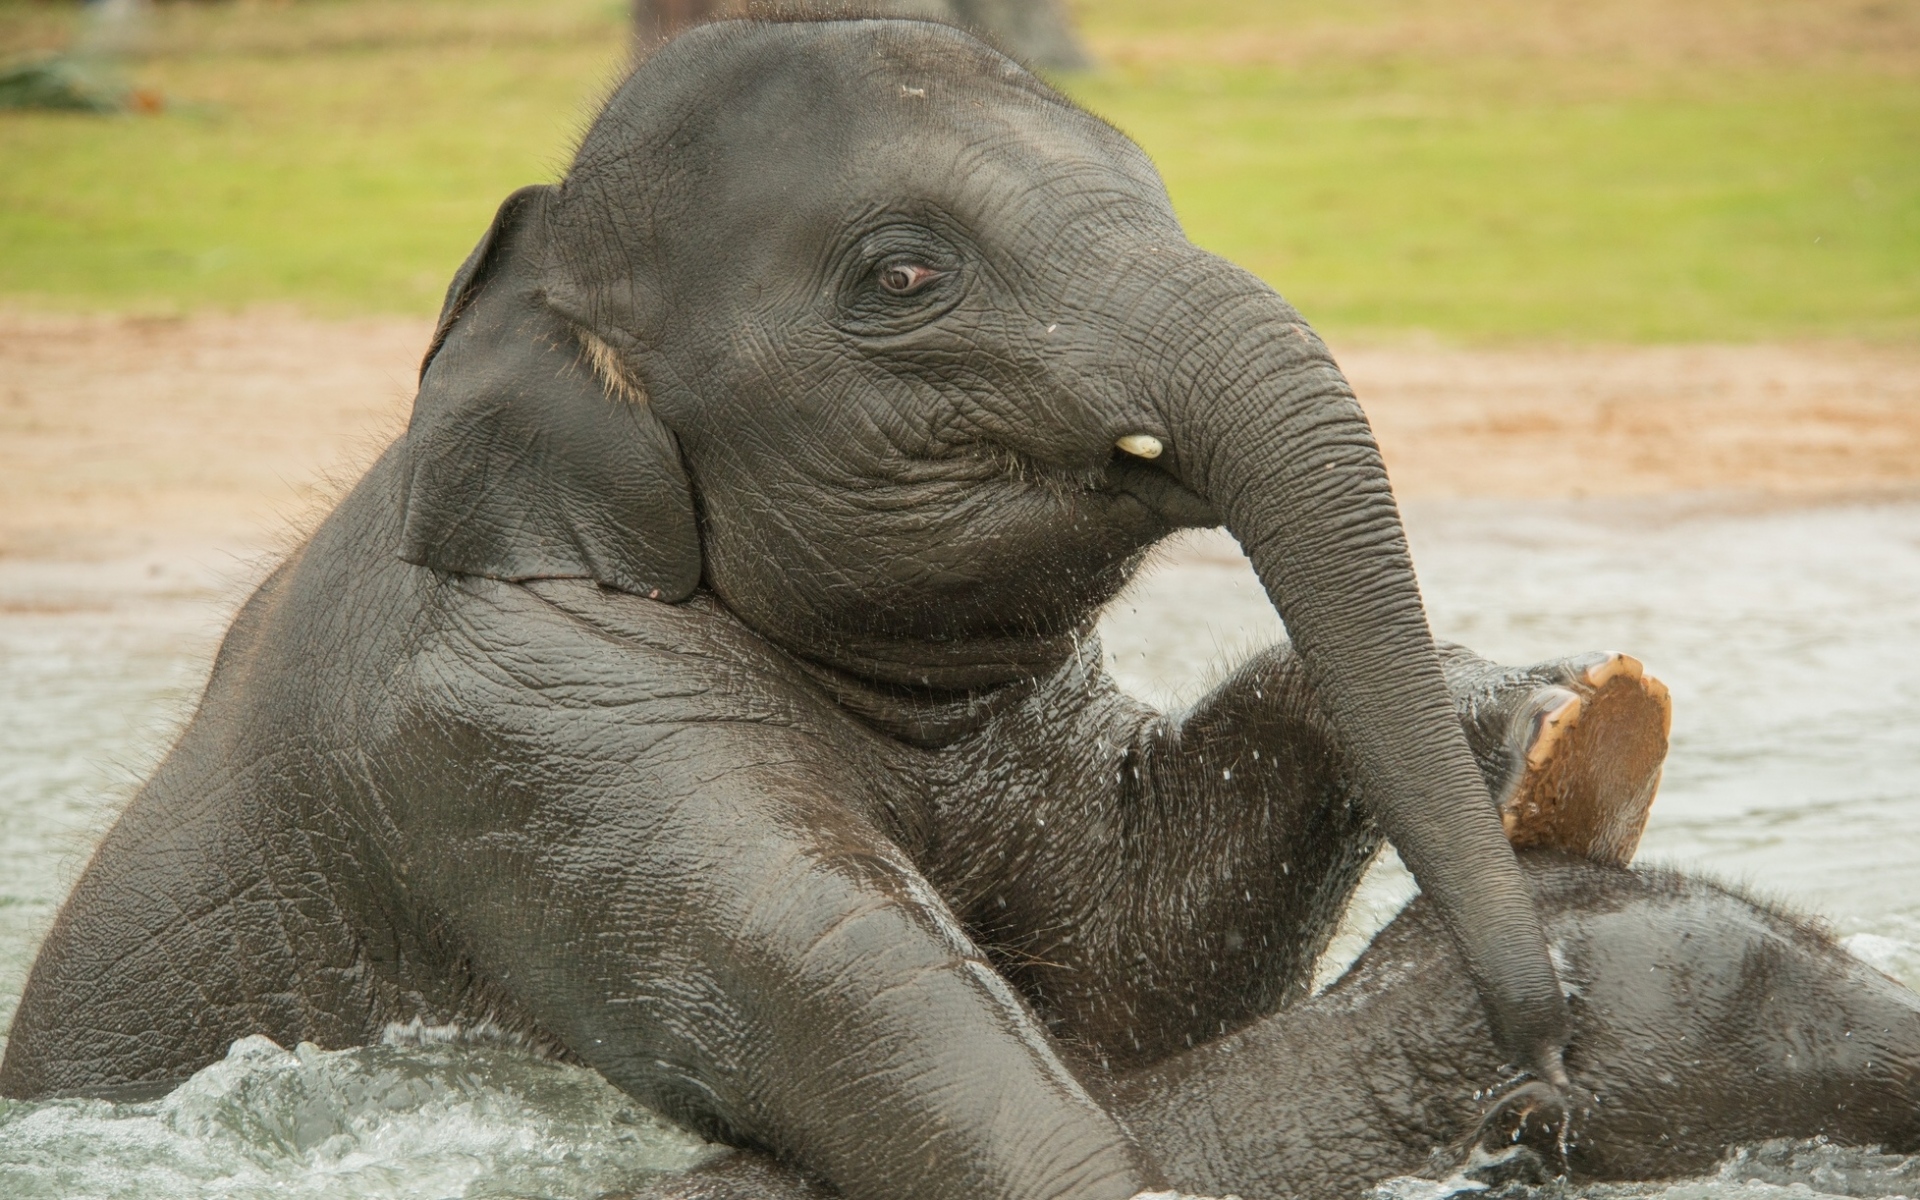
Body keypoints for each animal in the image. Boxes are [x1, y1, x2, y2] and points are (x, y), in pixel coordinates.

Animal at [1, 18, 1672, 1200]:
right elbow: (912, 1030)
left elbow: (1138, 973)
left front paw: (1551, 719)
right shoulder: (531, 736)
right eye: (907, 275)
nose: (1536, 1079)